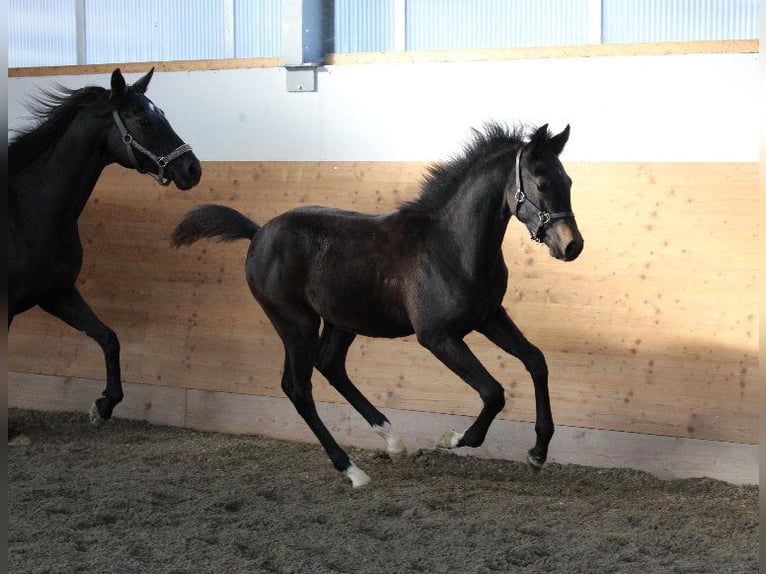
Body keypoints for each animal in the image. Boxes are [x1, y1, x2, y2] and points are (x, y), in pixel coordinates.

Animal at [9, 68, 201, 440]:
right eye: (144, 120)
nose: (192, 169)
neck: (28, 208)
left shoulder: (56, 294)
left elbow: (109, 338)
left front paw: (104, 404)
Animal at [172, 124, 584, 488]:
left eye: (568, 182)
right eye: (542, 184)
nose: (572, 246)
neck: (453, 245)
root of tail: (257, 233)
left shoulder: (489, 317)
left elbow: (536, 361)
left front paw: (538, 453)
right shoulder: (438, 337)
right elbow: (493, 392)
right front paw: (453, 439)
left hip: (340, 322)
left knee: (330, 366)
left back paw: (393, 442)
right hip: (295, 323)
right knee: (298, 387)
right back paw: (352, 470)